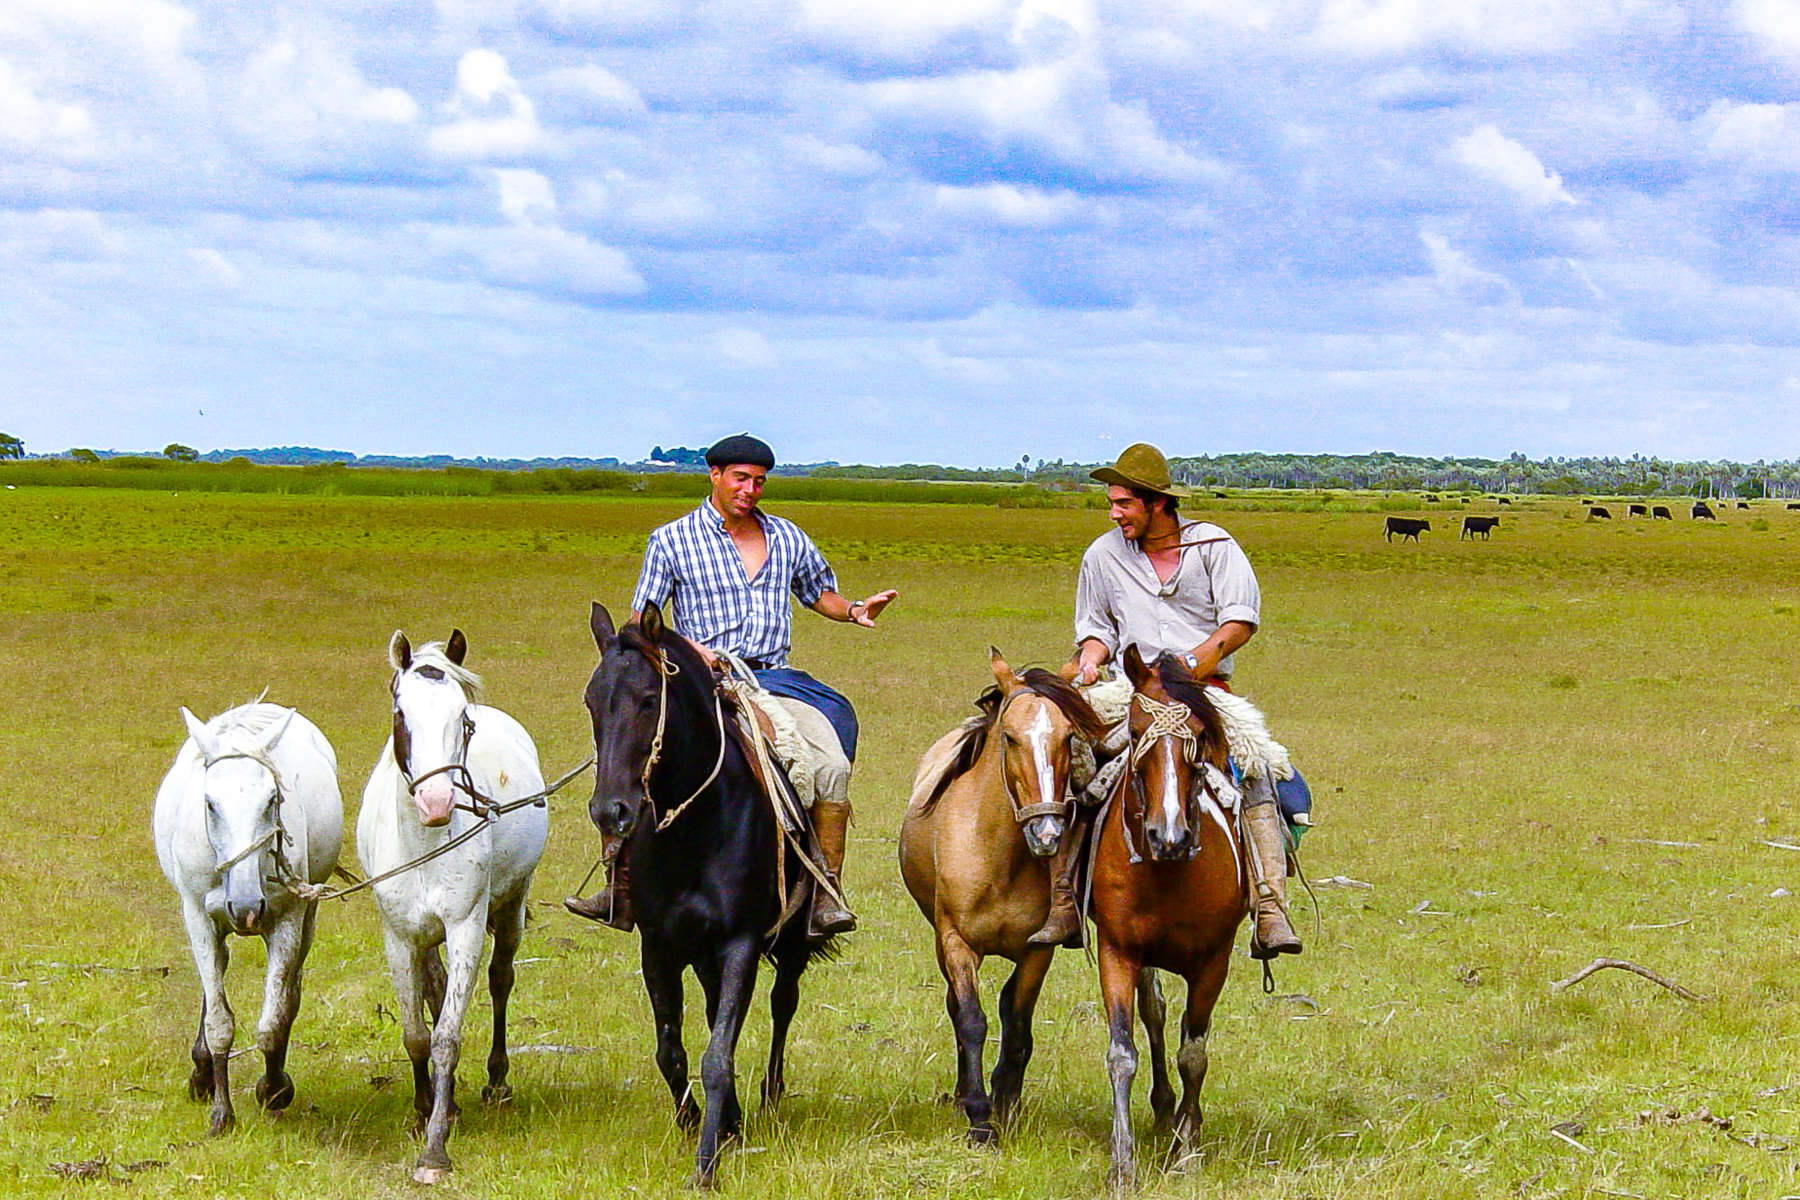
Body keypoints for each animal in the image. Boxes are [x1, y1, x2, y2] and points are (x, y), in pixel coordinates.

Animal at [151, 698, 343, 1129]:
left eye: (272, 800)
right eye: (210, 803)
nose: (245, 906)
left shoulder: (289, 918)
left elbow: (272, 1022)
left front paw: (273, 1089)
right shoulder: (198, 917)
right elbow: (219, 1021)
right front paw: (222, 1112)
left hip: (308, 917)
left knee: (290, 993)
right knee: (218, 974)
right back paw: (203, 1071)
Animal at [354, 633, 543, 1187]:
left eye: (463, 719)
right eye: (401, 715)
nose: (437, 802)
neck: (424, 845)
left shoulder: (465, 928)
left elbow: (446, 1038)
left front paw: (435, 1149)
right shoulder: (399, 937)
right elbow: (417, 1034)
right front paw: (425, 1110)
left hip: (511, 903)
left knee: (502, 980)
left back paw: (495, 1083)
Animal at [583, 604, 828, 1187]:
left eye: (648, 700)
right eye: (590, 701)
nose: (610, 811)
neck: (696, 825)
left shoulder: (741, 943)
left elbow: (717, 1055)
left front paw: (707, 1163)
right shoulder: (660, 946)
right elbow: (671, 1050)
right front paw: (698, 1123)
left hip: (789, 942)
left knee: (783, 1003)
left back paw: (769, 1094)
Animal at [900, 647, 1108, 1144]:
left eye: (1069, 737)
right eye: (1011, 738)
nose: (1047, 832)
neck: (1000, 861)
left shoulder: (1038, 952)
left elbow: (1017, 1021)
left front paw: (1006, 1101)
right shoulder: (956, 943)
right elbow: (972, 1020)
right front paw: (980, 1117)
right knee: (957, 1008)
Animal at [1080, 647, 1252, 1194]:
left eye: (1198, 733)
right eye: (1135, 730)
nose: (1168, 835)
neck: (1170, 870)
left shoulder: (1214, 961)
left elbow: (1193, 1053)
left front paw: (1186, 1150)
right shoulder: (1118, 952)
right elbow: (1123, 1052)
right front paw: (1123, 1162)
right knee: (1152, 1011)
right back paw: (1161, 1107)